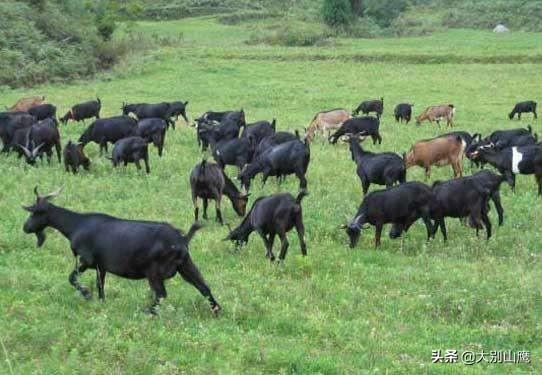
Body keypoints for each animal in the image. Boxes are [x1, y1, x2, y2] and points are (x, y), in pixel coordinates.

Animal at [21, 187, 221, 314]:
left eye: (34, 212)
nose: (25, 228)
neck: (76, 225)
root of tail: (182, 239)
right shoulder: (101, 266)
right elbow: (100, 285)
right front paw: (101, 302)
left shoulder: (86, 260)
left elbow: (72, 278)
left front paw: (86, 294)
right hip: (186, 265)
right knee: (204, 287)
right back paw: (217, 310)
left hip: (154, 271)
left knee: (161, 294)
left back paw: (148, 312)